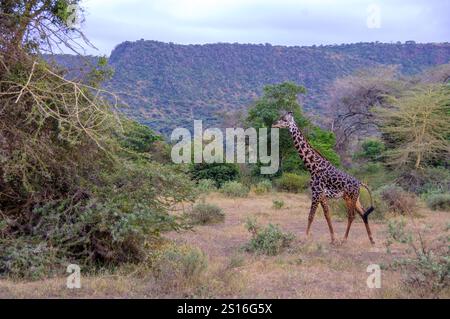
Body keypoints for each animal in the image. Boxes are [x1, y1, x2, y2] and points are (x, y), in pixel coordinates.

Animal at [272, 112, 374, 245]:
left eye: (284, 120)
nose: (274, 124)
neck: (312, 166)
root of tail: (360, 183)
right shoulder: (322, 195)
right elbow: (327, 215)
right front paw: (333, 239)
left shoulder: (316, 192)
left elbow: (311, 216)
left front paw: (305, 237)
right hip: (355, 199)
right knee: (363, 213)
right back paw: (371, 240)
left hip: (350, 197)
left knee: (352, 215)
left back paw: (345, 239)